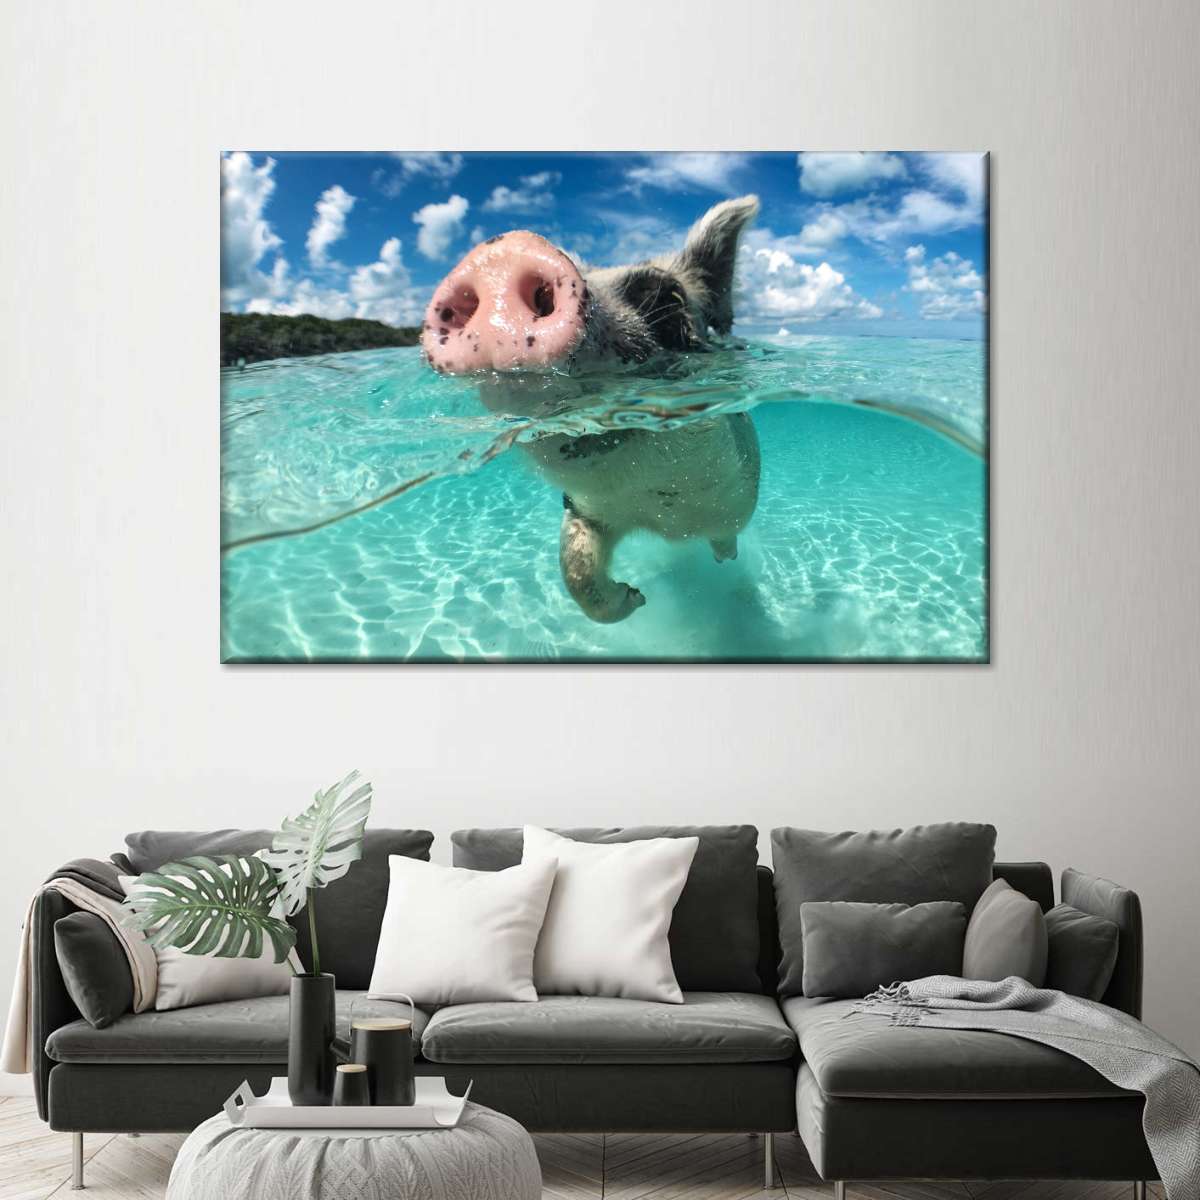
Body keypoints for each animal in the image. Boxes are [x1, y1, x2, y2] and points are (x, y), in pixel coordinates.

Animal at [422, 195, 762, 624]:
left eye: (667, 299)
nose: (501, 253)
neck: (663, 515)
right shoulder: (584, 509)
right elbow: (576, 569)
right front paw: (636, 597)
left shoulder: (734, 500)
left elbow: (725, 534)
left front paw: (713, 563)